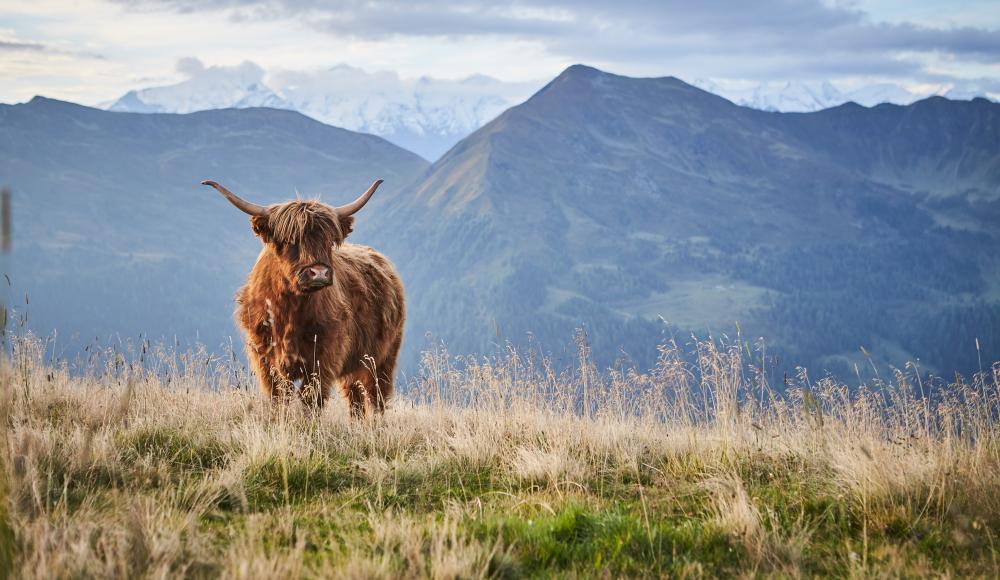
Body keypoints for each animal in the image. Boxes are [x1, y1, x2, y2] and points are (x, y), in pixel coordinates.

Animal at [201, 179, 404, 414]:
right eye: (290, 240)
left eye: (329, 241)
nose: (319, 273)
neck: (289, 311)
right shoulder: (265, 358)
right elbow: (278, 396)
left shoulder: (324, 356)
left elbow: (311, 399)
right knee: (356, 400)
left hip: (382, 358)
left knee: (376, 396)